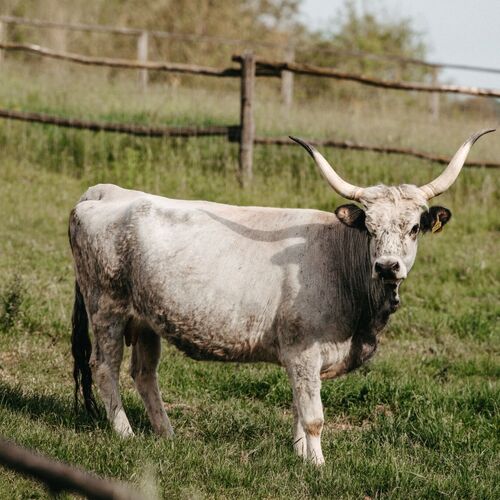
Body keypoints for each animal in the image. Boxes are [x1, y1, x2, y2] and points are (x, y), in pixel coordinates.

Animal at [69, 129, 493, 465]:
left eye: (414, 228)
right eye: (370, 228)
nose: (387, 266)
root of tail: (106, 192)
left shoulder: (298, 355)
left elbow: (298, 408)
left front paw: (300, 453)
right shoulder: (304, 350)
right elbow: (313, 415)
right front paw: (318, 465)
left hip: (145, 320)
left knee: (144, 373)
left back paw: (166, 434)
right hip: (106, 307)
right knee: (104, 367)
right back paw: (125, 433)